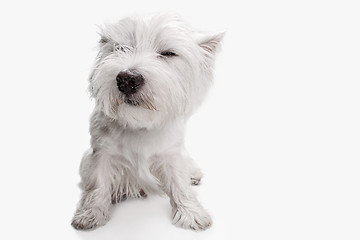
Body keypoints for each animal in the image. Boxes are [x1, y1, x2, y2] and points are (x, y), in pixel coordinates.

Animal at [71, 13, 224, 231]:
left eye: (168, 53)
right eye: (120, 47)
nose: (127, 79)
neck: (140, 125)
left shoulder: (171, 155)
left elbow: (179, 183)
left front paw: (192, 213)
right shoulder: (102, 153)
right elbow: (98, 184)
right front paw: (90, 214)